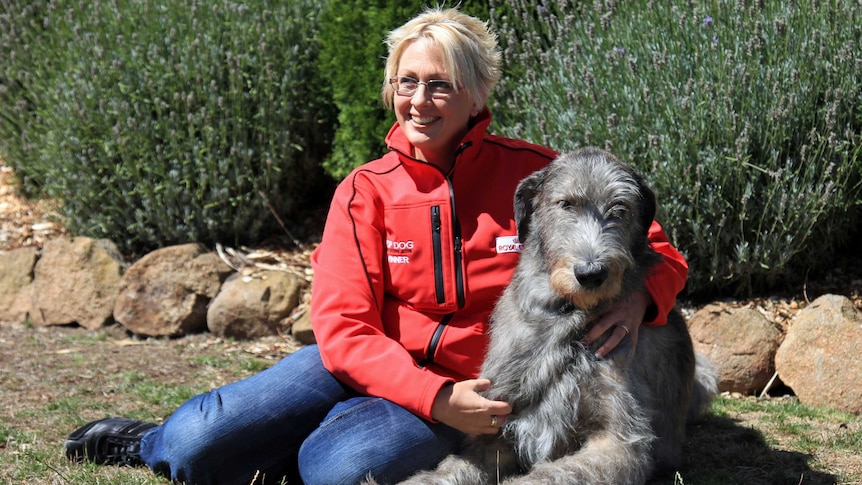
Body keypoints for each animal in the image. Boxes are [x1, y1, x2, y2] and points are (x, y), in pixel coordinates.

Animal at [384, 147, 716, 484]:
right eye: (565, 203)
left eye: (620, 208)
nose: (591, 274)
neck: (564, 314)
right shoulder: (494, 424)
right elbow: (452, 468)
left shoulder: (619, 440)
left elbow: (552, 474)